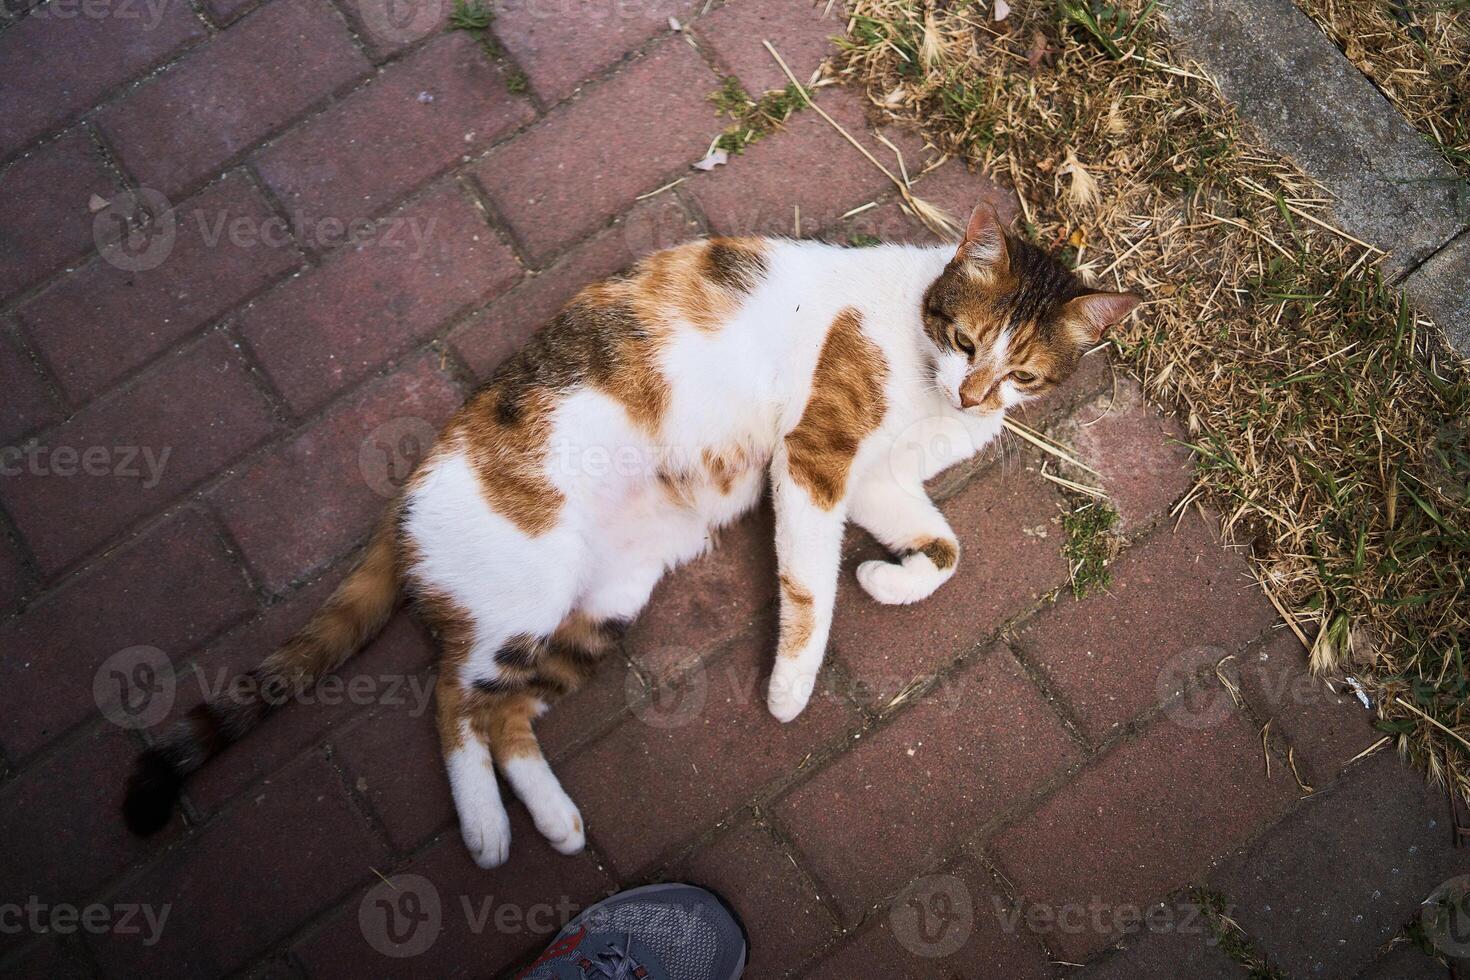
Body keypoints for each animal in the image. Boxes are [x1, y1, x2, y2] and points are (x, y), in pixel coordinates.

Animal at [126, 205, 1134, 863]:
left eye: (1023, 374)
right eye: (966, 342)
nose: (974, 396)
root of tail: (410, 486)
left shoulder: (877, 481)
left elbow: (947, 552)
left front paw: (889, 579)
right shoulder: (814, 458)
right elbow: (811, 588)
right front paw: (790, 689)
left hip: (599, 606)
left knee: (504, 713)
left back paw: (554, 820)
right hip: (525, 590)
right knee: (451, 698)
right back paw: (487, 833)